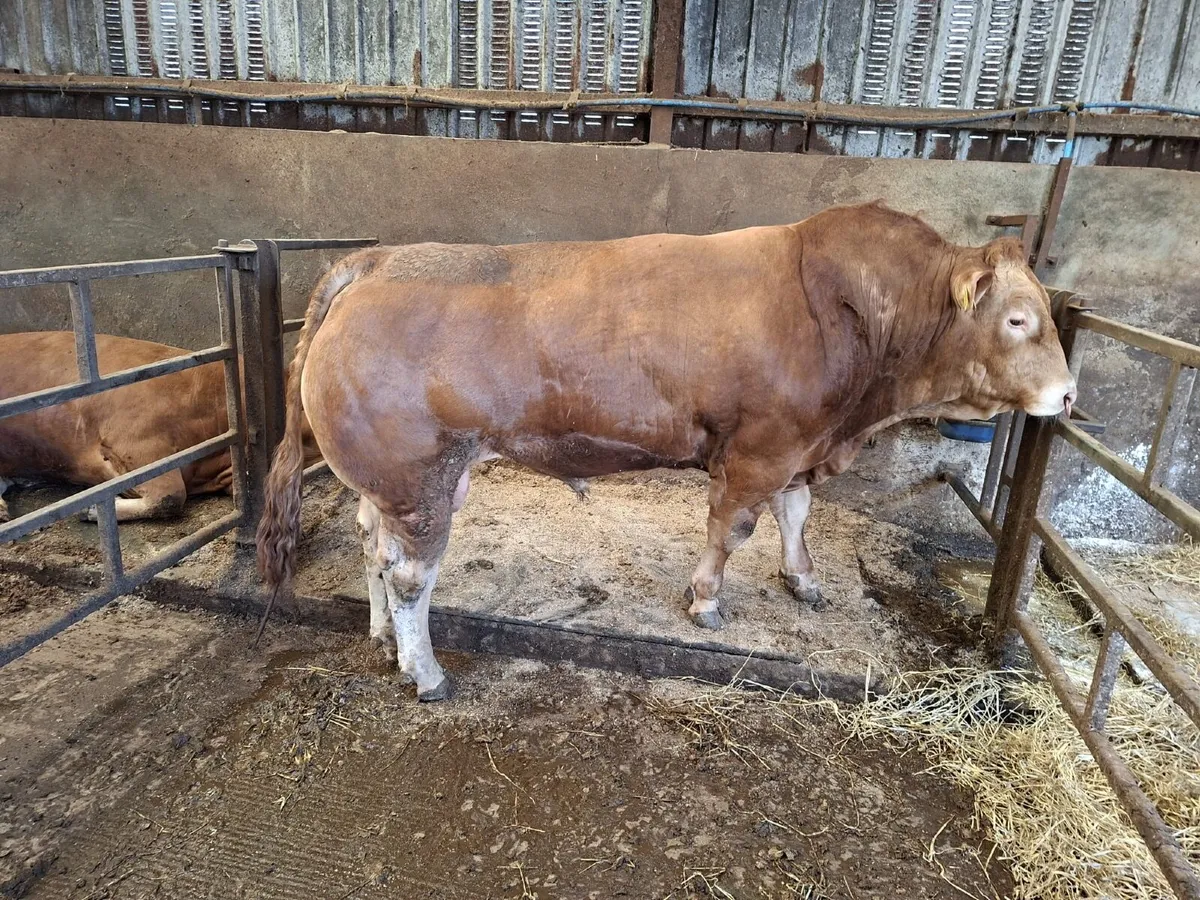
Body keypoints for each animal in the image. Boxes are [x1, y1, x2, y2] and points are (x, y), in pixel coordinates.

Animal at [256, 202, 1076, 702]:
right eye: (1016, 318)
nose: (1069, 395)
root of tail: (375, 262)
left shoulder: (800, 443)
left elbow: (796, 513)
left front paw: (804, 580)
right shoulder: (761, 446)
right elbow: (734, 526)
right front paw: (706, 600)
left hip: (386, 479)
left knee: (372, 546)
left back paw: (379, 639)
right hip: (425, 479)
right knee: (409, 577)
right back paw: (425, 671)